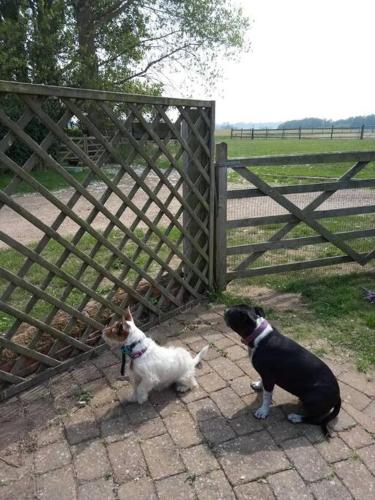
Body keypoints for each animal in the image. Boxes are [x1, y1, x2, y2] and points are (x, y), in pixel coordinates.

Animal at [225, 302, 342, 436]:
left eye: (230, 313)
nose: (225, 310)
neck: (258, 334)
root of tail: (338, 396)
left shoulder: (269, 377)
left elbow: (267, 396)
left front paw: (263, 411)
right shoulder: (265, 375)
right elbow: (263, 385)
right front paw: (258, 385)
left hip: (312, 398)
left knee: (315, 419)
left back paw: (296, 418)